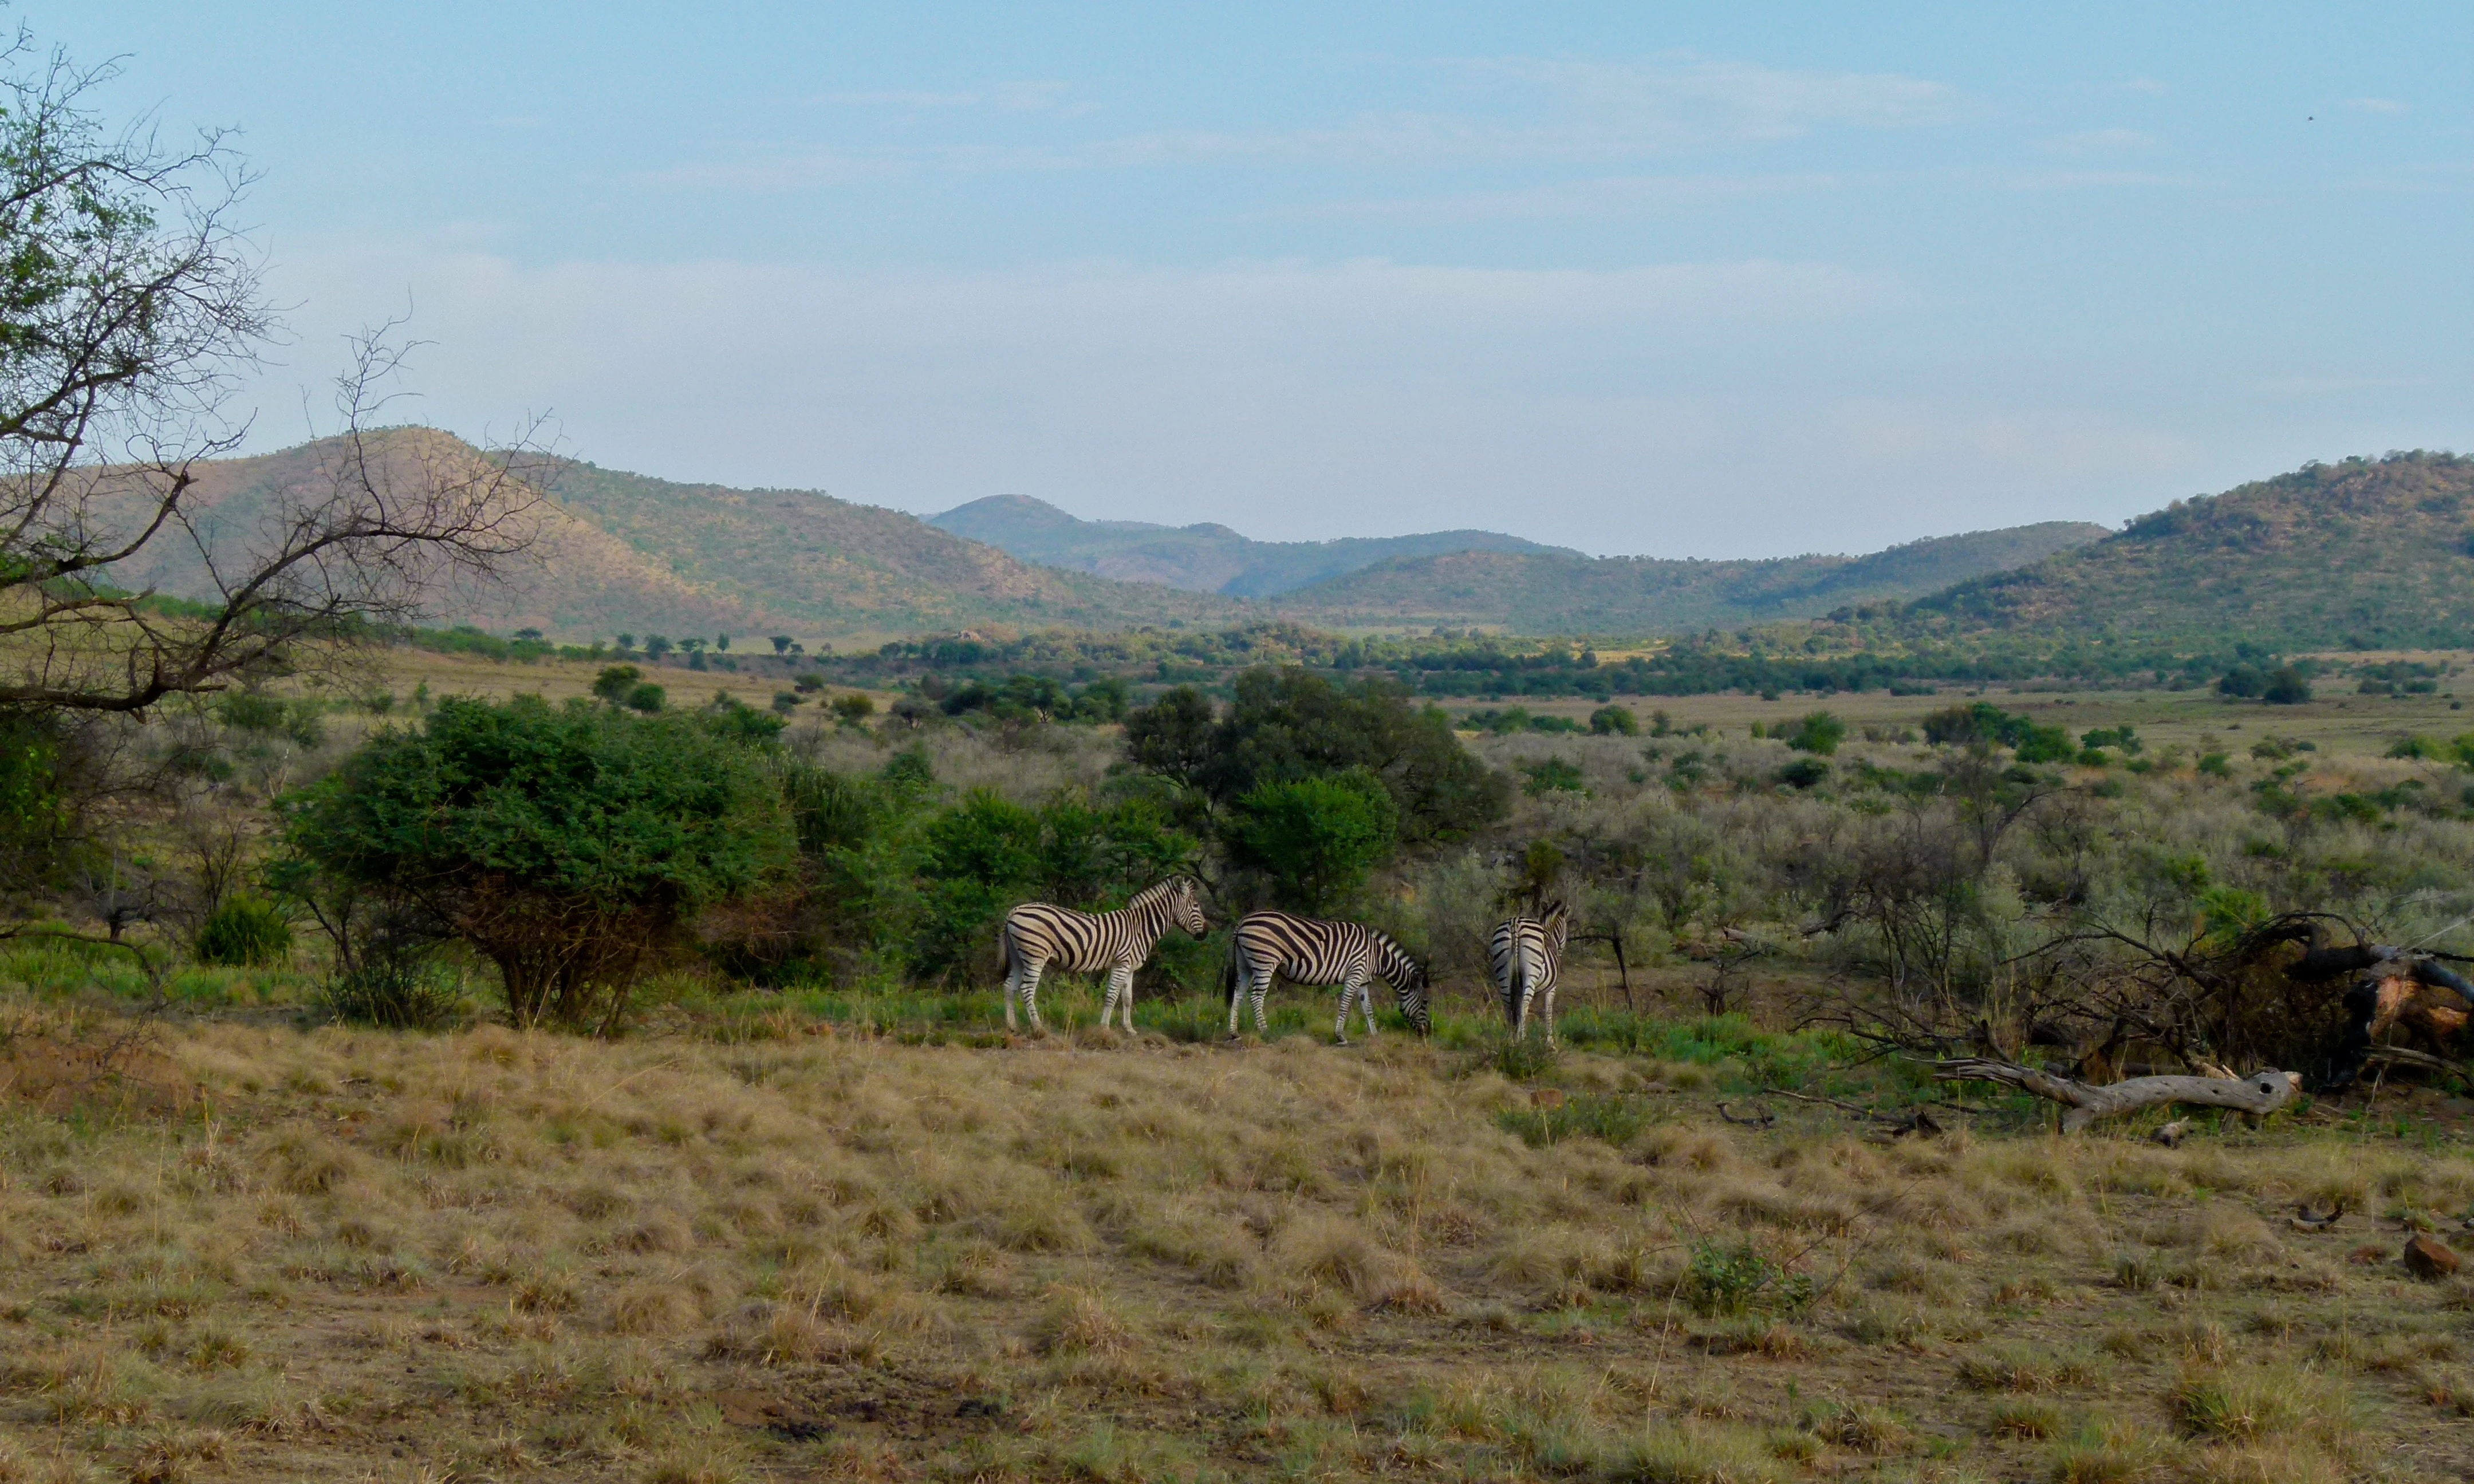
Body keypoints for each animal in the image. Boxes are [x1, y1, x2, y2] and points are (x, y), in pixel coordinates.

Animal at [1001, 877, 1208, 1034]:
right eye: (1196, 905)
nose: (1206, 933)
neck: (1140, 928)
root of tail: (1014, 911)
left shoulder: (1130, 968)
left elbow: (1127, 999)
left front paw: (1129, 1030)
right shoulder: (1121, 964)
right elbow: (1112, 996)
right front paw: (1104, 1028)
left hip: (1020, 957)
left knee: (1010, 987)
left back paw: (1012, 1026)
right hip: (1035, 956)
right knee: (1027, 989)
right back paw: (1038, 1027)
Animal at [1225, 910, 1431, 1044]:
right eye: (1426, 1002)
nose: (1427, 1032)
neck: (1376, 956)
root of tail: (1243, 920)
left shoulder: (1362, 980)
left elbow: (1368, 1009)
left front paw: (1374, 1035)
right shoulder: (1355, 974)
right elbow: (1345, 1005)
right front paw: (1340, 1036)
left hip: (1245, 964)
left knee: (1238, 994)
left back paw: (1234, 1033)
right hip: (1265, 962)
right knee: (1256, 998)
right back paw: (1266, 1032)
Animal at [1491, 902, 1570, 1046]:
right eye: (1565, 930)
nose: (1561, 950)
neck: (1550, 936)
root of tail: (1515, 922)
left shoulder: (1517, 989)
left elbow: (1516, 1010)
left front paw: (1516, 1035)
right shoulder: (1552, 988)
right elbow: (1548, 1011)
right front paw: (1550, 1042)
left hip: (1503, 971)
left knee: (1508, 1004)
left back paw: (1509, 1040)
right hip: (1531, 973)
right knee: (1525, 1004)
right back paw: (1523, 1040)